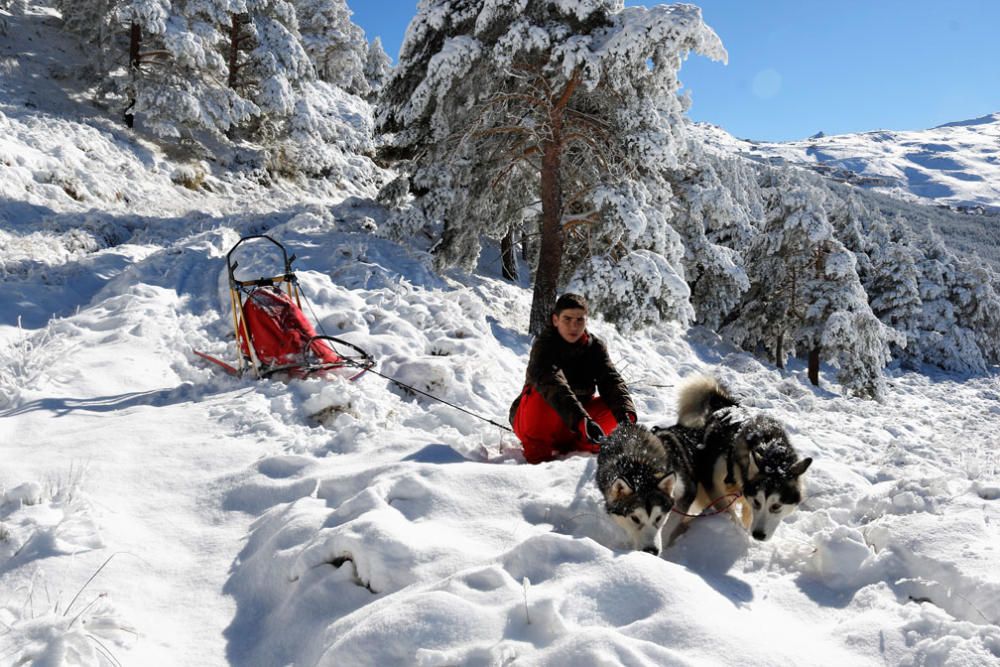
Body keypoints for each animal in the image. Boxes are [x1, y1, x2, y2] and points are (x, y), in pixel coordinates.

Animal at [592, 422, 696, 560]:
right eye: (635, 518)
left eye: (658, 517)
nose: (651, 551)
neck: (637, 465)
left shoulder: (686, 491)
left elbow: (669, 524)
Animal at [680, 376, 812, 544]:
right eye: (757, 502)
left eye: (776, 506)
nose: (758, 535)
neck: (768, 444)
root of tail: (727, 404)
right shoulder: (714, 484)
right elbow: (729, 512)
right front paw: (736, 530)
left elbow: (747, 516)